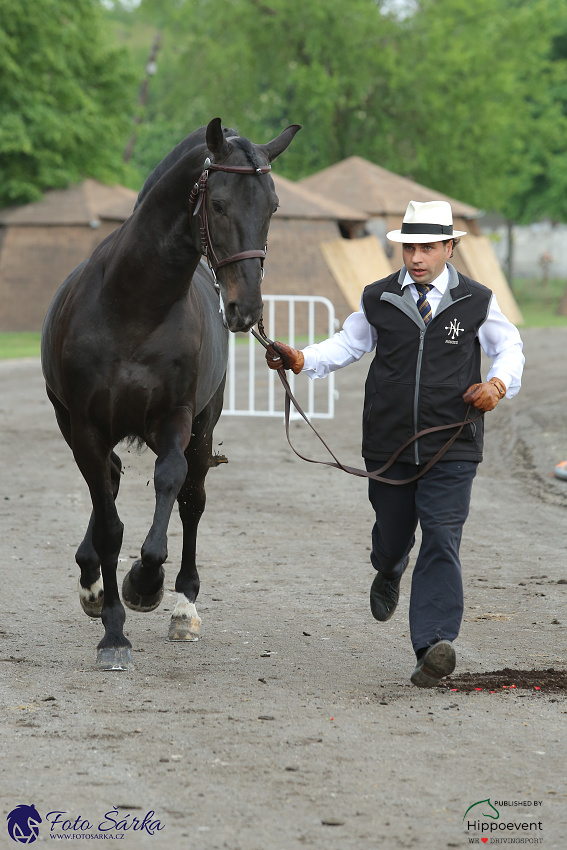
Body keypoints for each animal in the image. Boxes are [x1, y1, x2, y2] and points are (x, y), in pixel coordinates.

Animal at [41, 116, 300, 664]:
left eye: (272, 206)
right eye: (218, 204)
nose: (246, 309)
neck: (135, 305)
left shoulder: (176, 418)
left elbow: (170, 482)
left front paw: (146, 581)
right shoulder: (86, 426)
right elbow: (109, 523)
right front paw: (114, 629)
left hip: (201, 427)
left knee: (191, 497)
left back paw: (183, 605)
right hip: (74, 425)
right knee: (108, 482)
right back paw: (93, 581)